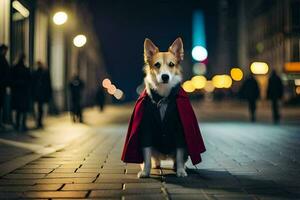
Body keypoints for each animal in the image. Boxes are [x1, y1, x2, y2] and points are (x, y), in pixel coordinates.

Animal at [138, 38, 188, 178]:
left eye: (171, 64)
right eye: (157, 65)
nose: (165, 76)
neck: (163, 96)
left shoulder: (180, 130)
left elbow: (180, 154)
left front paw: (180, 171)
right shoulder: (146, 129)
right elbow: (146, 155)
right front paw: (145, 172)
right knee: (153, 158)